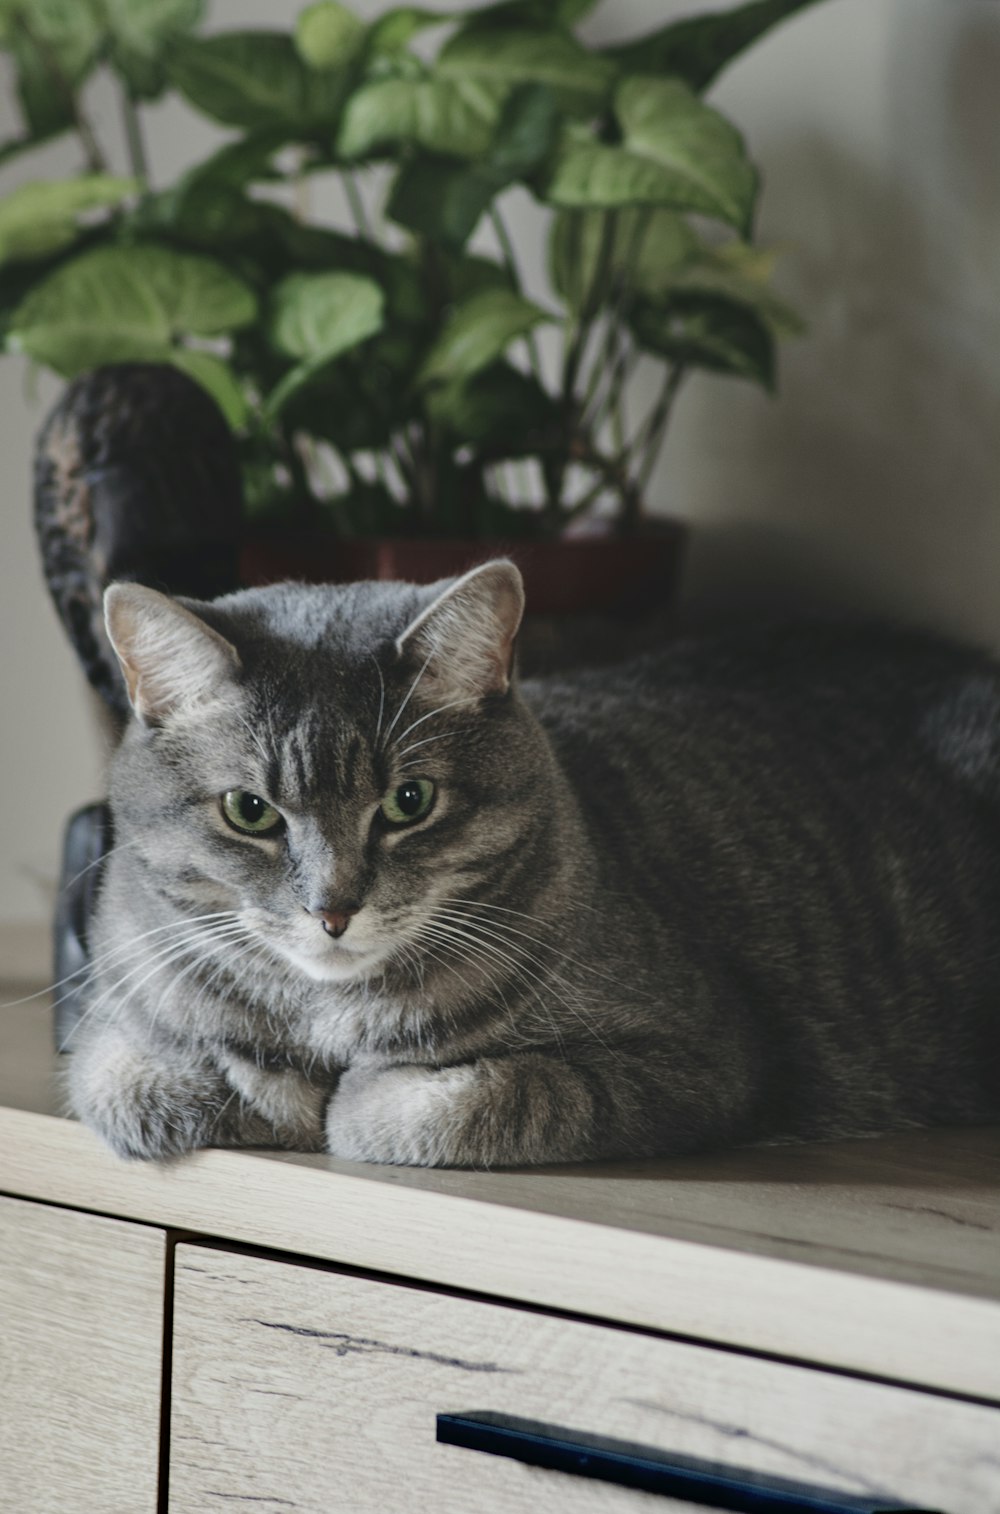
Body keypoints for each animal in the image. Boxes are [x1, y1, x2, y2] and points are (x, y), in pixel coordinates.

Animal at [66, 563, 998, 1162]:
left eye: (410, 802)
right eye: (250, 811)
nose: (333, 910)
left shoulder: (704, 1059)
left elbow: (480, 1099)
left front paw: (350, 1101)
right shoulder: (111, 1016)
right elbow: (129, 1078)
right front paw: (264, 1086)